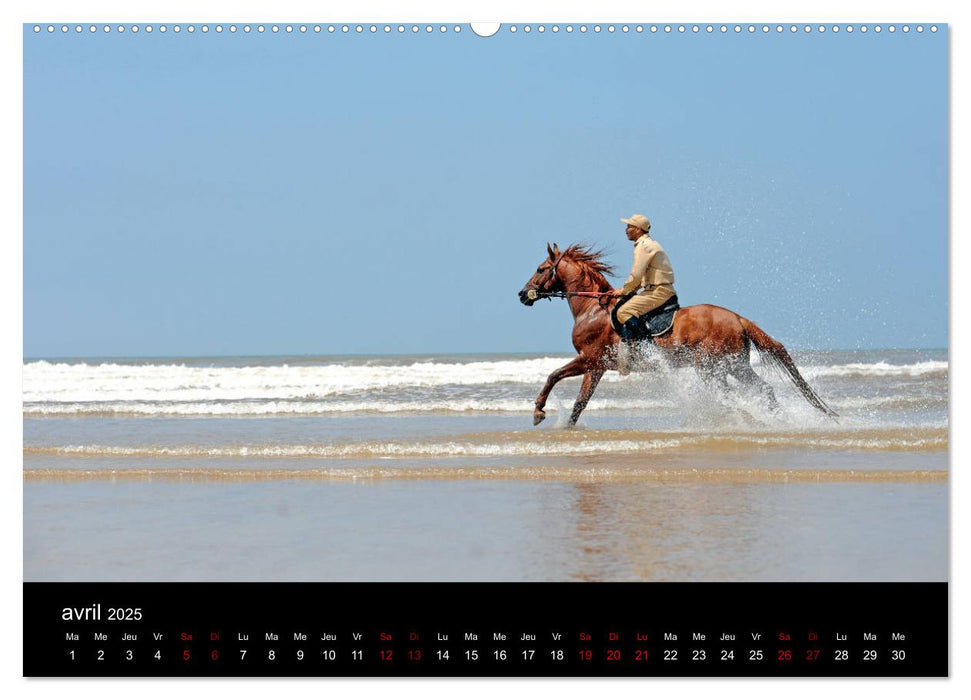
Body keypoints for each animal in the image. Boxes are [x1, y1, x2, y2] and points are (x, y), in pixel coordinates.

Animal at [516, 241, 836, 426]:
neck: (593, 309)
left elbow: (553, 375)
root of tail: (738, 318)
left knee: (732, 396)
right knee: (763, 389)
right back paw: (777, 421)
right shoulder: (597, 367)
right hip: (735, 366)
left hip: (711, 368)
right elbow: (579, 404)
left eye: (541, 268)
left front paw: (538, 412)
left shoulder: (589, 359)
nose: (522, 294)